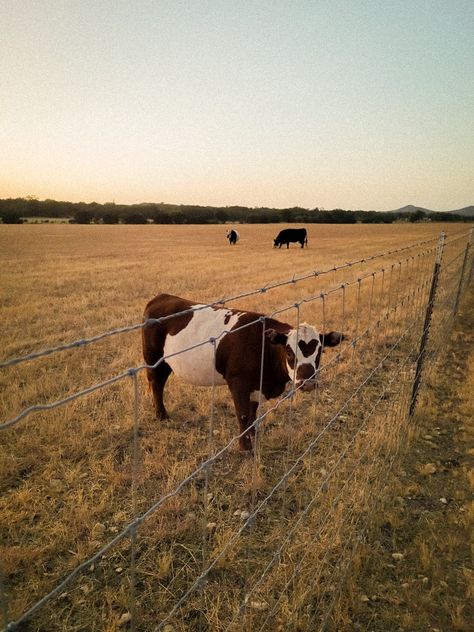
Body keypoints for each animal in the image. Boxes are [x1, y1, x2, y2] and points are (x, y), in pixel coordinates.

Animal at [142, 294, 344, 452]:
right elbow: (243, 414)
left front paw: (254, 437)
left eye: (320, 351)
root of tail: (161, 297)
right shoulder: (238, 383)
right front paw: (245, 447)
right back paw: (161, 415)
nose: (307, 382)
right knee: (157, 385)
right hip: (153, 359)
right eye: (289, 352)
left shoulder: (255, 386)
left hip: (165, 363)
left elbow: (253, 414)